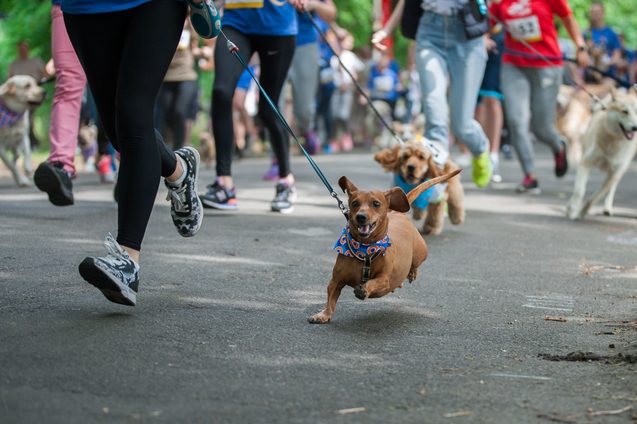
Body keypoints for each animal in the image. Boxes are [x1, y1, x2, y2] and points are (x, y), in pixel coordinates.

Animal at [306, 169, 458, 322]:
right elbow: (331, 301)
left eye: (376, 203)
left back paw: (412, 273)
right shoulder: (335, 281)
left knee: (415, 263)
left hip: (421, 252)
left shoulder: (383, 279)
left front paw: (363, 290)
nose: (361, 217)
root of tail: (398, 212)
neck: (365, 249)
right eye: (354, 203)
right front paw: (323, 315)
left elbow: (373, 283)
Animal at [568, 85, 636, 220]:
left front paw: (581, 213)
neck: (615, 141)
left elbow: (594, 198)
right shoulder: (586, 163)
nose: (635, 127)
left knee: (611, 190)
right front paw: (572, 209)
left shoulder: (614, 173)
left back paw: (607, 208)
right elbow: (580, 190)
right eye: (624, 112)